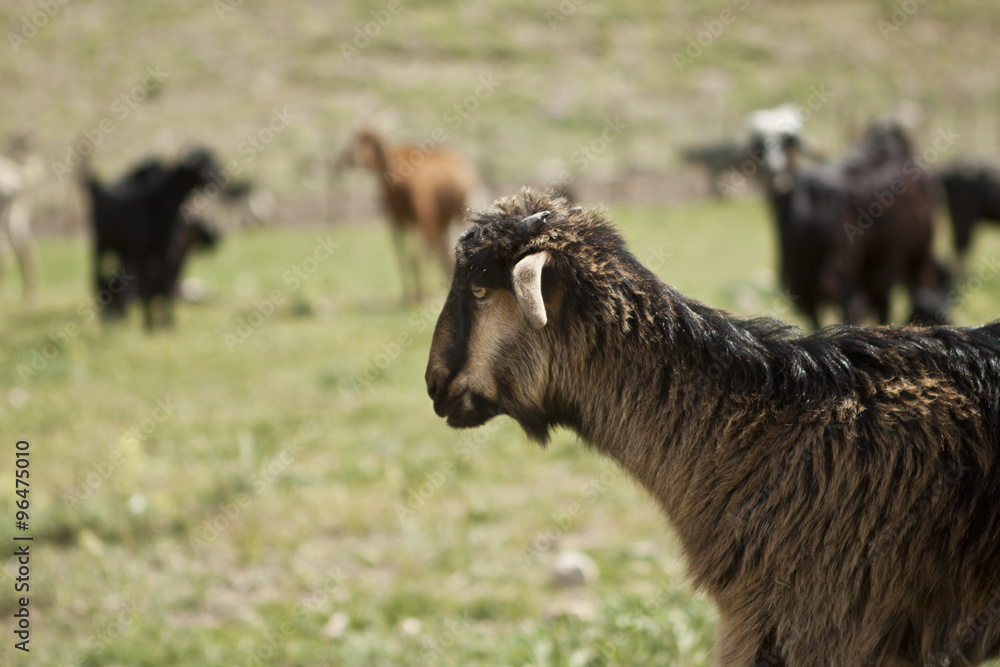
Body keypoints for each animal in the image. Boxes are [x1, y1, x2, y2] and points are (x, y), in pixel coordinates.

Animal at [83, 149, 220, 329]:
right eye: (202, 163)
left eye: (213, 159)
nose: (218, 176)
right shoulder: (142, 254)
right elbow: (146, 286)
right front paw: (148, 323)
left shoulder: (164, 254)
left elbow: (165, 286)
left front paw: (168, 323)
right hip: (101, 244)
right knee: (98, 277)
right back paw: (109, 319)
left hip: (122, 250)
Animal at [339, 128, 479, 303]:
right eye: (358, 141)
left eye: (372, 142)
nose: (358, 159)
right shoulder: (397, 221)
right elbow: (403, 256)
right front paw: (408, 295)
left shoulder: (420, 218)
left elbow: (419, 255)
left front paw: (423, 295)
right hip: (439, 220)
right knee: (438, 248)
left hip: (442, 217)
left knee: (433, 249)